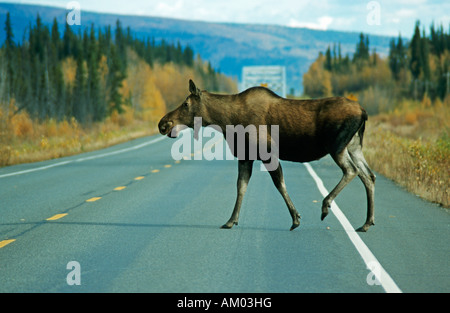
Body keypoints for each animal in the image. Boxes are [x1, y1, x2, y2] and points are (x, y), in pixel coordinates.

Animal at [159, 80, 376, 232]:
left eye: (186, 103)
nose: (163, 123)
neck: (226, 121)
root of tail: (364, 112)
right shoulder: (245, 155)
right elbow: (241, 186)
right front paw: (231, 220)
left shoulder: (267, 153)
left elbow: (279, 184)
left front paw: (295, 219)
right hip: (354, 146)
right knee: (369, 176)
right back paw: (366, 223)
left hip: (337, 146)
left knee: (352, 170)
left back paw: (326, 205)